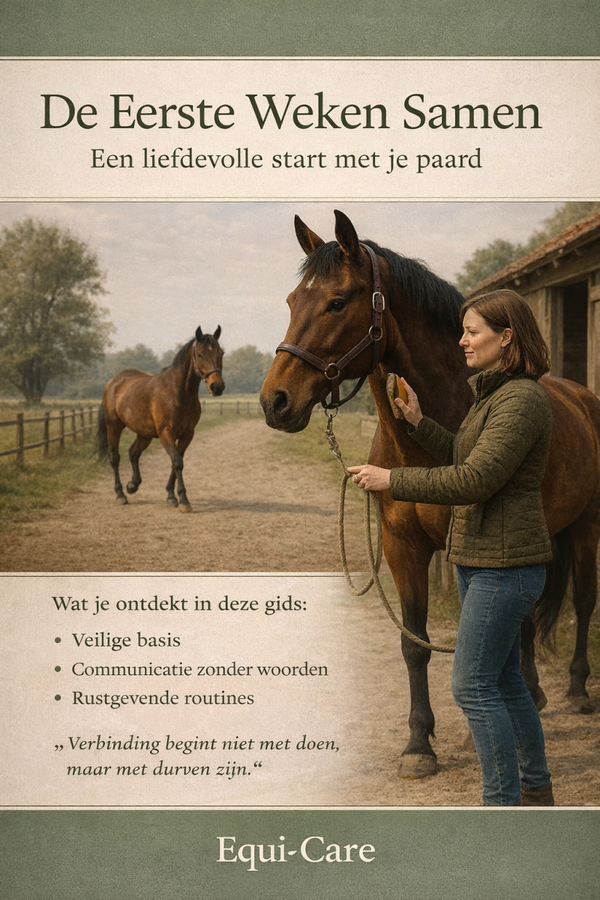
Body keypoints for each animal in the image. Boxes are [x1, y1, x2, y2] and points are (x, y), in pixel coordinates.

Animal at [98, 325, 224, 512]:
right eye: (200, 354)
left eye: (221, 353)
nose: (217, 387)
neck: (178, 393)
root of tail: (112, 382)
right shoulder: (166, 434)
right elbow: (177, 462)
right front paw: (183, 500)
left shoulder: (187, 435)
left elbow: (177, 461)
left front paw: (171, 496)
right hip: (113, 426)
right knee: (114, 457)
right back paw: (120, 494)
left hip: (144, 434)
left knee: (133, 453)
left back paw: (132, 485)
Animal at [260, 209, 600, 778]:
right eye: (291, 302)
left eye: (337, 301)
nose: (274, 402)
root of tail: (581, 395)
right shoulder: (403, 548)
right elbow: (414, 644)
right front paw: (419, 744)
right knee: (528, 616)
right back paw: (534, 692)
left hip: (586, 528)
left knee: (582, 598)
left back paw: (577, 689)